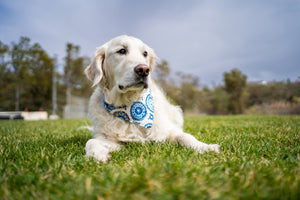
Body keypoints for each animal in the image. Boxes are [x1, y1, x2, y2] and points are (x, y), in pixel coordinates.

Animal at [84, 34, 220, 162]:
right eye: (122, 50)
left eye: (145, 53)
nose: (144, 70)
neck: (131, 104)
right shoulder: (110, 139)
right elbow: (91, 141)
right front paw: (97, 155)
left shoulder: (167, 131)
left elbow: (185, 136)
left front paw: (205, 147)